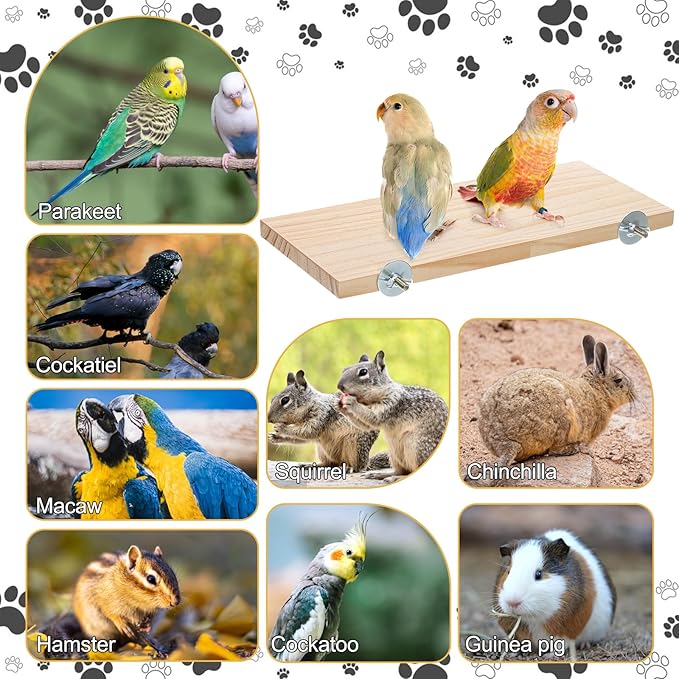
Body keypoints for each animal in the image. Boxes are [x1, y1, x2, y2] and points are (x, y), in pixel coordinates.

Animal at [494, 529, 616, 660]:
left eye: (539, 574)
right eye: (508, 571)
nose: (512, 602)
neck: (535, 618)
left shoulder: (567, 627)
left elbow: (559, 642)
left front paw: (549, 656)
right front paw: (514, 653)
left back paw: (584, 645)